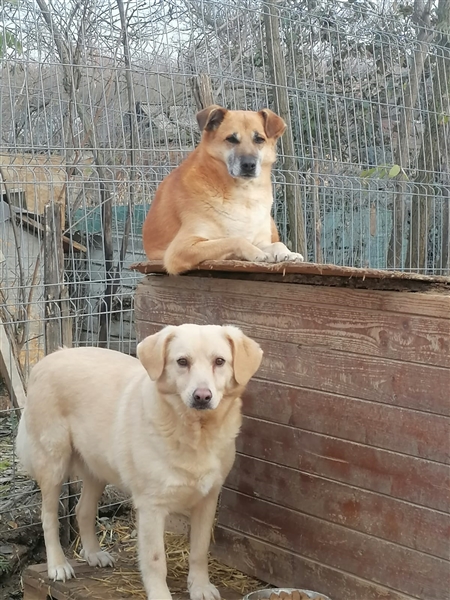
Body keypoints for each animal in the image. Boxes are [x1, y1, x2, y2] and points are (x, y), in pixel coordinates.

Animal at [15, 324, 263, 600]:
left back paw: (93, 553)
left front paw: (200, 587)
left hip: (97, 469)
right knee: (48, 517)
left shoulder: (207, 501)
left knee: (82, 510)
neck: (195, 433)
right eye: (182, 361)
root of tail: (48, 358)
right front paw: (161, 595)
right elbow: (156, 560)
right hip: (54, 465)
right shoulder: (151, 507)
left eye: (219, 361)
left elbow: (199, 551)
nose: (202, 396)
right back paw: (58, 565)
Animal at [142, 105, 304, 274]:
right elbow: (235, 239)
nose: (249, 165)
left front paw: (287, 253)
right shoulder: (180, 249)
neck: (244, 194)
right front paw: (257, 253)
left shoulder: (260, 239)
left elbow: (277, 244)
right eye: (231, 139)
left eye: (259, 139)